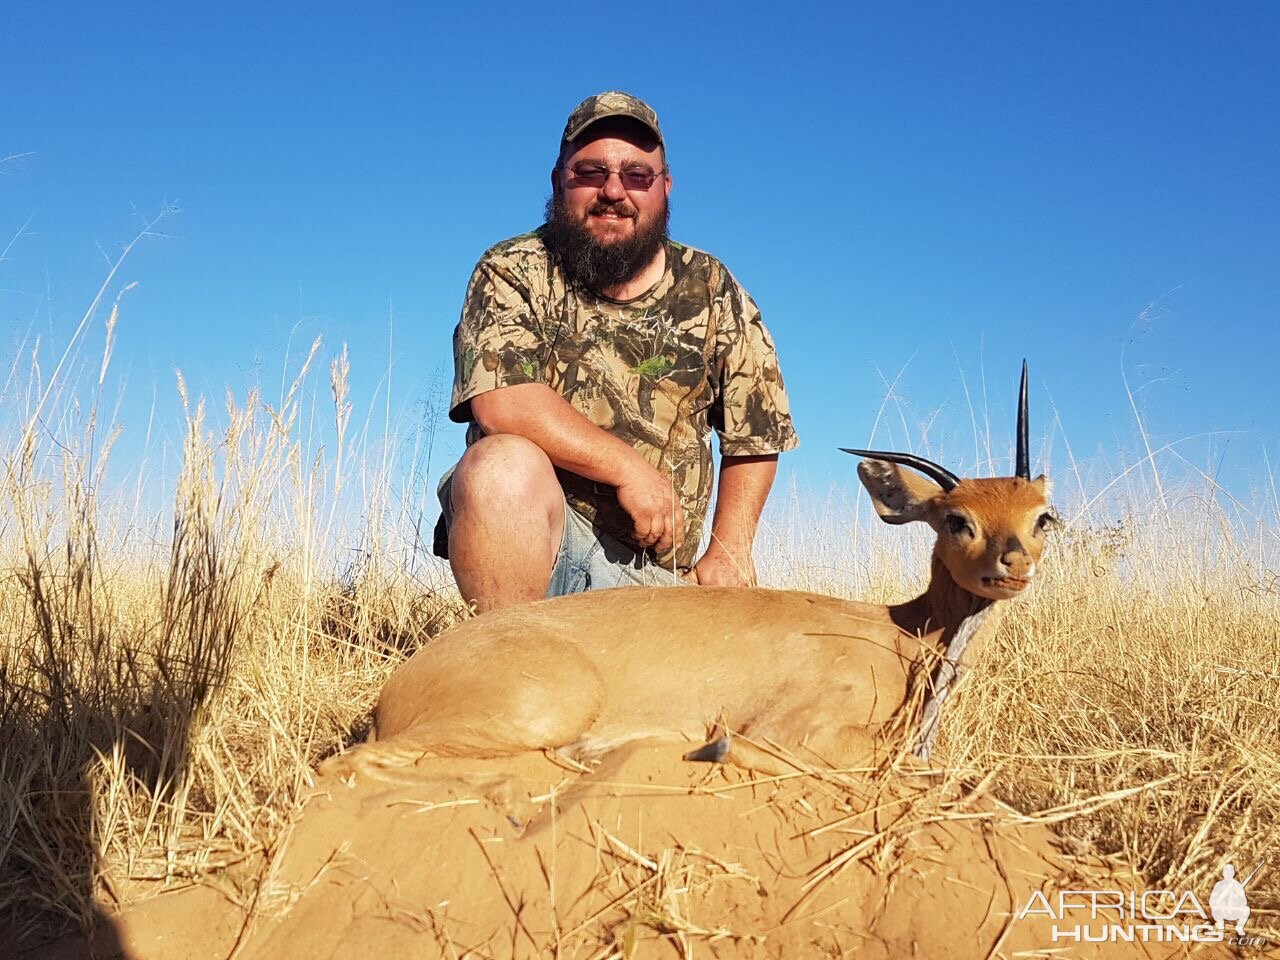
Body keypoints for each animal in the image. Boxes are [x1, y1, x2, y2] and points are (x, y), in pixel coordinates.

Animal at [366, 363, 1054, 778]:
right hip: (541, 707)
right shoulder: (795, 729)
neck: (902, 634)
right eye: (955, 519)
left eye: (1044, 517)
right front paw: (710, 744)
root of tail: (396, 688)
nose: (1012, 565)